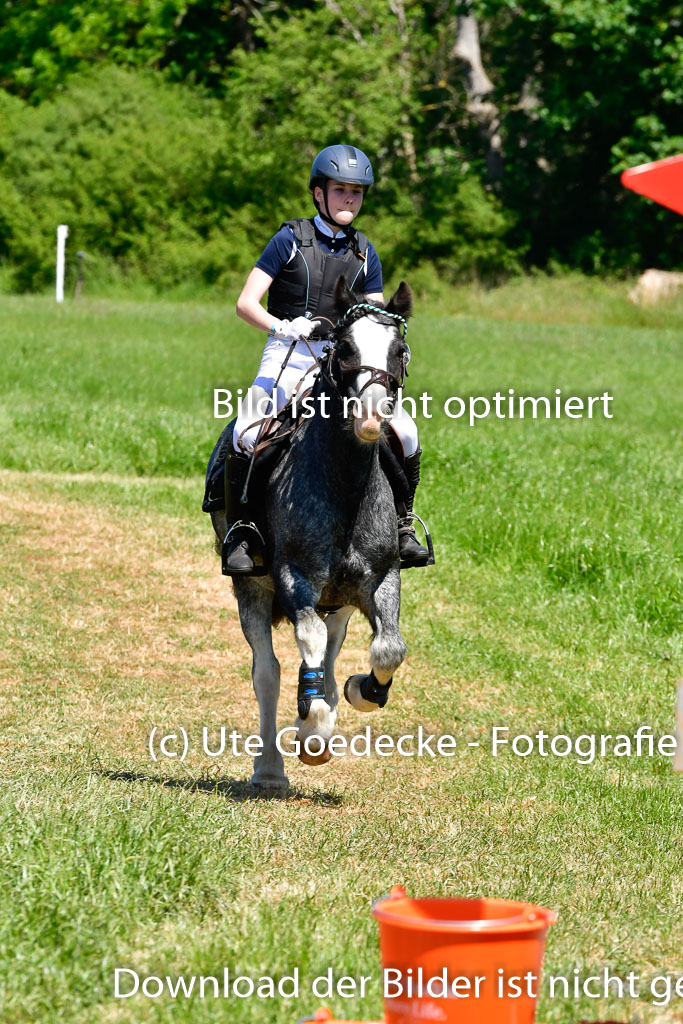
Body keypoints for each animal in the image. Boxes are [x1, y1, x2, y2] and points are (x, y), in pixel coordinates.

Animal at [209, 274, 411, 790]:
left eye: (399, 350)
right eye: (344, 347)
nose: (371, 417)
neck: (345, 487)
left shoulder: (382, 579)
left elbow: (387, 649)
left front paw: (360, 691)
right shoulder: (293, 576)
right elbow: (307, 641)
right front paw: (313, 733)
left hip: (339, 600)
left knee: (329, 652)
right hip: (252, 589)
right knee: (269, 671)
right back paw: (271, 768)